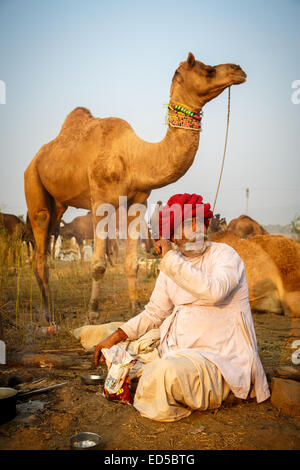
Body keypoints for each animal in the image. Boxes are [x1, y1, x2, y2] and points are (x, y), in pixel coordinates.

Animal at [24, 51, 246, 324]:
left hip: (58, 203)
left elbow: (133, 263)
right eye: (208, 70)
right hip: (33, 182)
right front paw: (93, 311)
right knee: (40, 237)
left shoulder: (138, 202)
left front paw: (134, 306)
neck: (134, 157)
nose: (238, 70)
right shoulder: (100, 201)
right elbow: (98, 264)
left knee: (45, 245)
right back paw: (48, 314)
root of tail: (36, 158)